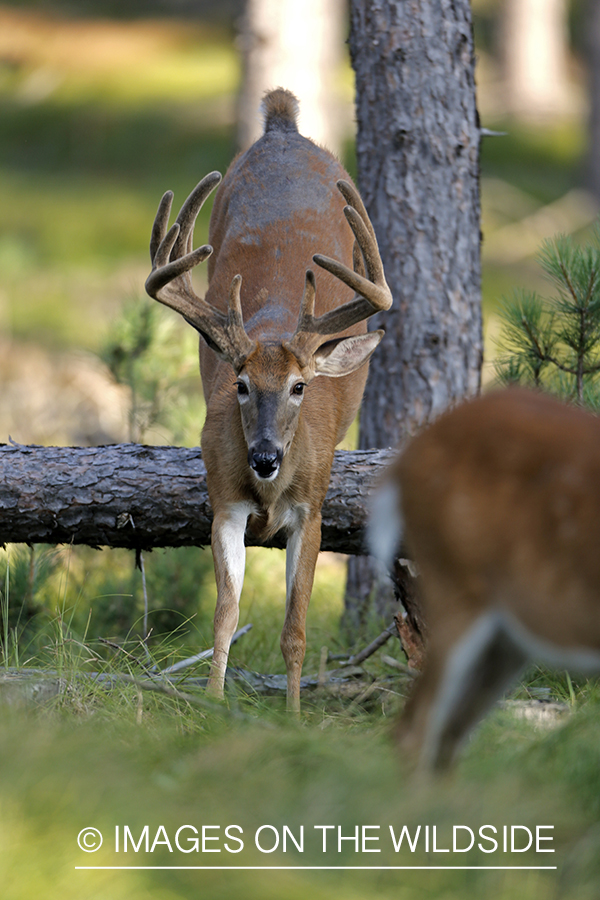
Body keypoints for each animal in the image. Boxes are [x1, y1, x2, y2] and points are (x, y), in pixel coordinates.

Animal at [145, 89, 394, 712]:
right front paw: (213, 702)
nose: (263, 456)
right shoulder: (224, 501)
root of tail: (282, 125)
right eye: (239, 383)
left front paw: (295, 713)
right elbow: (225, 615)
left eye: (300, 386)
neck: (268, 489)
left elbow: (296, 628)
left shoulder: (312, 508)